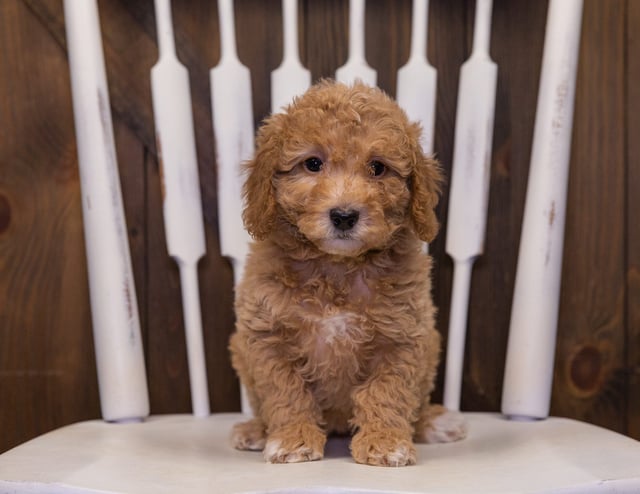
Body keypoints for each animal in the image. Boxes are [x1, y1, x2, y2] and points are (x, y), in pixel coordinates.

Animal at [229, 81, 464, 466]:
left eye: (378, 168)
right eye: (312, 163)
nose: (343, 215)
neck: (336, 269)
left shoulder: (402, 336)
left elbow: (386, 392)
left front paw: (385, 442)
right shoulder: (267, 337)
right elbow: (286, 392)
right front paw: (292, 440)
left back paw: (433, 423)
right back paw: (255, 430)